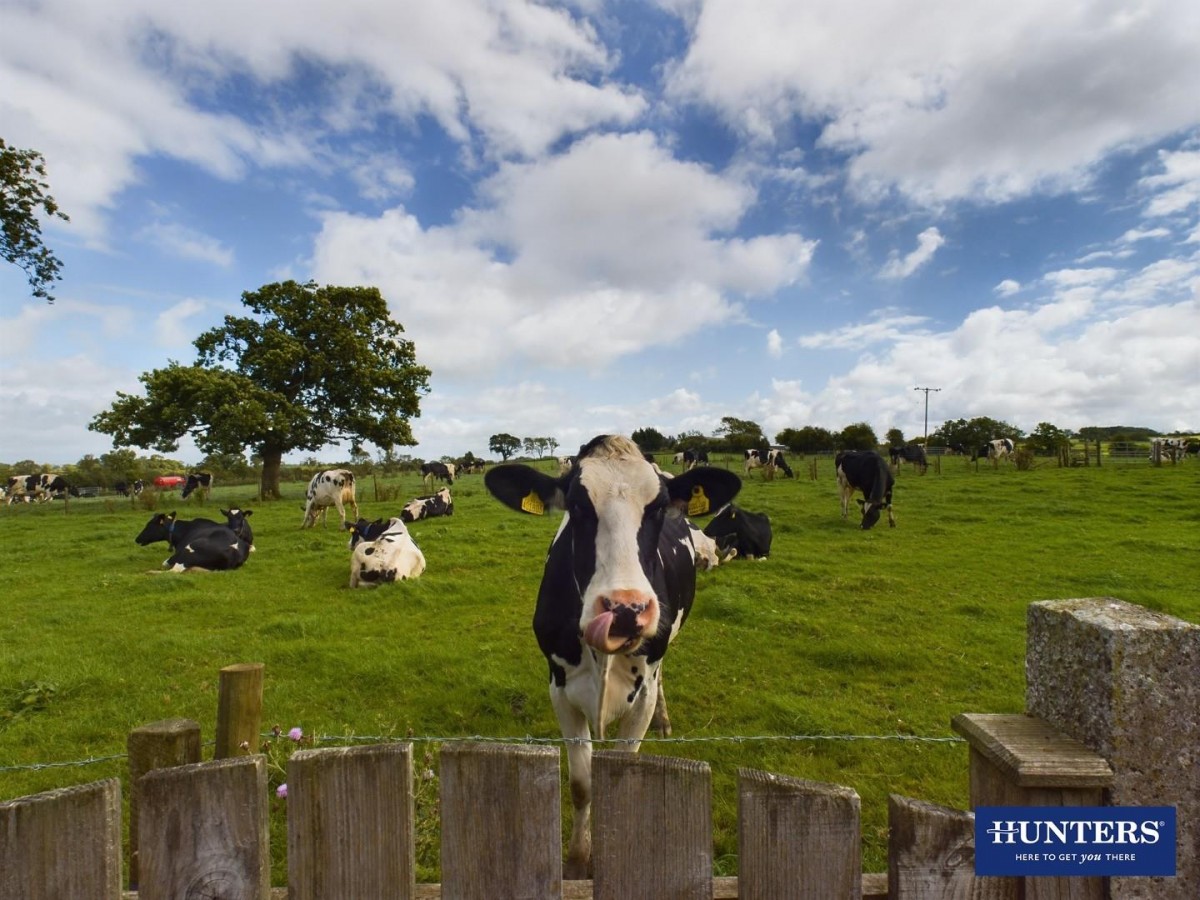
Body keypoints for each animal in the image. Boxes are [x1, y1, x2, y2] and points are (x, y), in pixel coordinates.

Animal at [484, 436, 739, 883]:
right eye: (576, 504)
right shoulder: (560, 688)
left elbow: (622, 774)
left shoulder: (642, 693)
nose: (625, 609)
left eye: (658, 507)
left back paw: (665, 721)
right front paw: (577, 861)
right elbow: (582, 783)